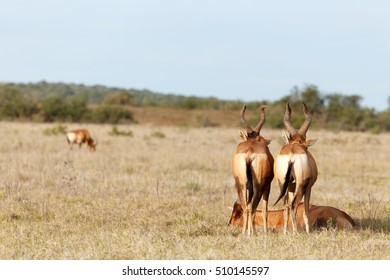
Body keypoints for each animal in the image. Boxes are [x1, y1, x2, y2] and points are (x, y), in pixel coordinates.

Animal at [232, 104, 274, 235]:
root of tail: (250, 152)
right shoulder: (267, 186)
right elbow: (265, 210)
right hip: (258, 186)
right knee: (253, 208)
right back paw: (253, 233)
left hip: (240, 185)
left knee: (246, 207)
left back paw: (245, 233)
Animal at [272, 103, 318, 234]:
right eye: (306, 147)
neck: (296, 144)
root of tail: (292, 155)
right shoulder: (308, 188)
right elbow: (306, 210)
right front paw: (307, 231)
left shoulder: (290, 188)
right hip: (301, 186)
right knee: (293, 205)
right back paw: (295, 232)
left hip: (282, 184)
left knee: (286, 206)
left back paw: (287, 231)